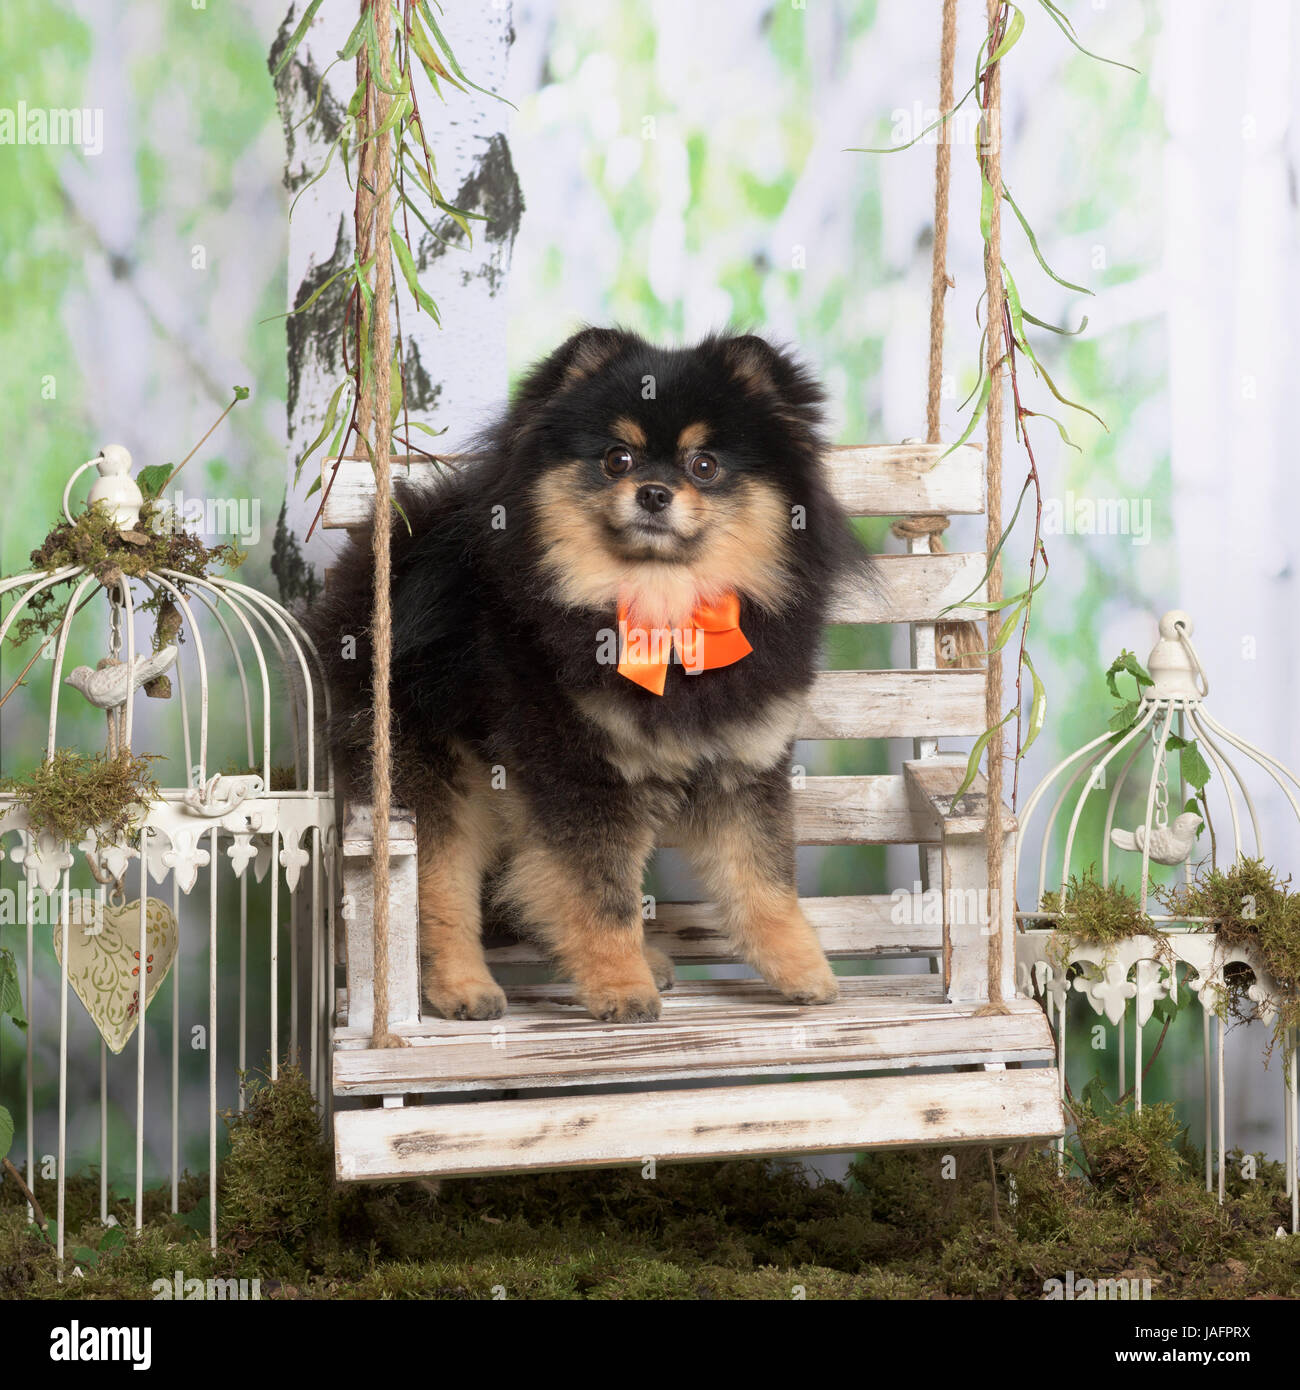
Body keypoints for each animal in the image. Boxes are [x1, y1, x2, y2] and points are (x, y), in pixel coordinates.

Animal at [308, 325, 867, 1023]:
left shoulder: (744, 762)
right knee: (439, 889)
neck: (660, 606)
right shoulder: (579, 771)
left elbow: (762, 878)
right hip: (430, 770)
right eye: (616, 459)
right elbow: (601, 894)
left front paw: (802, 970)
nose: (654, 493)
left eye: (704, 465)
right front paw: (620, 989)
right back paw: (464, 987)